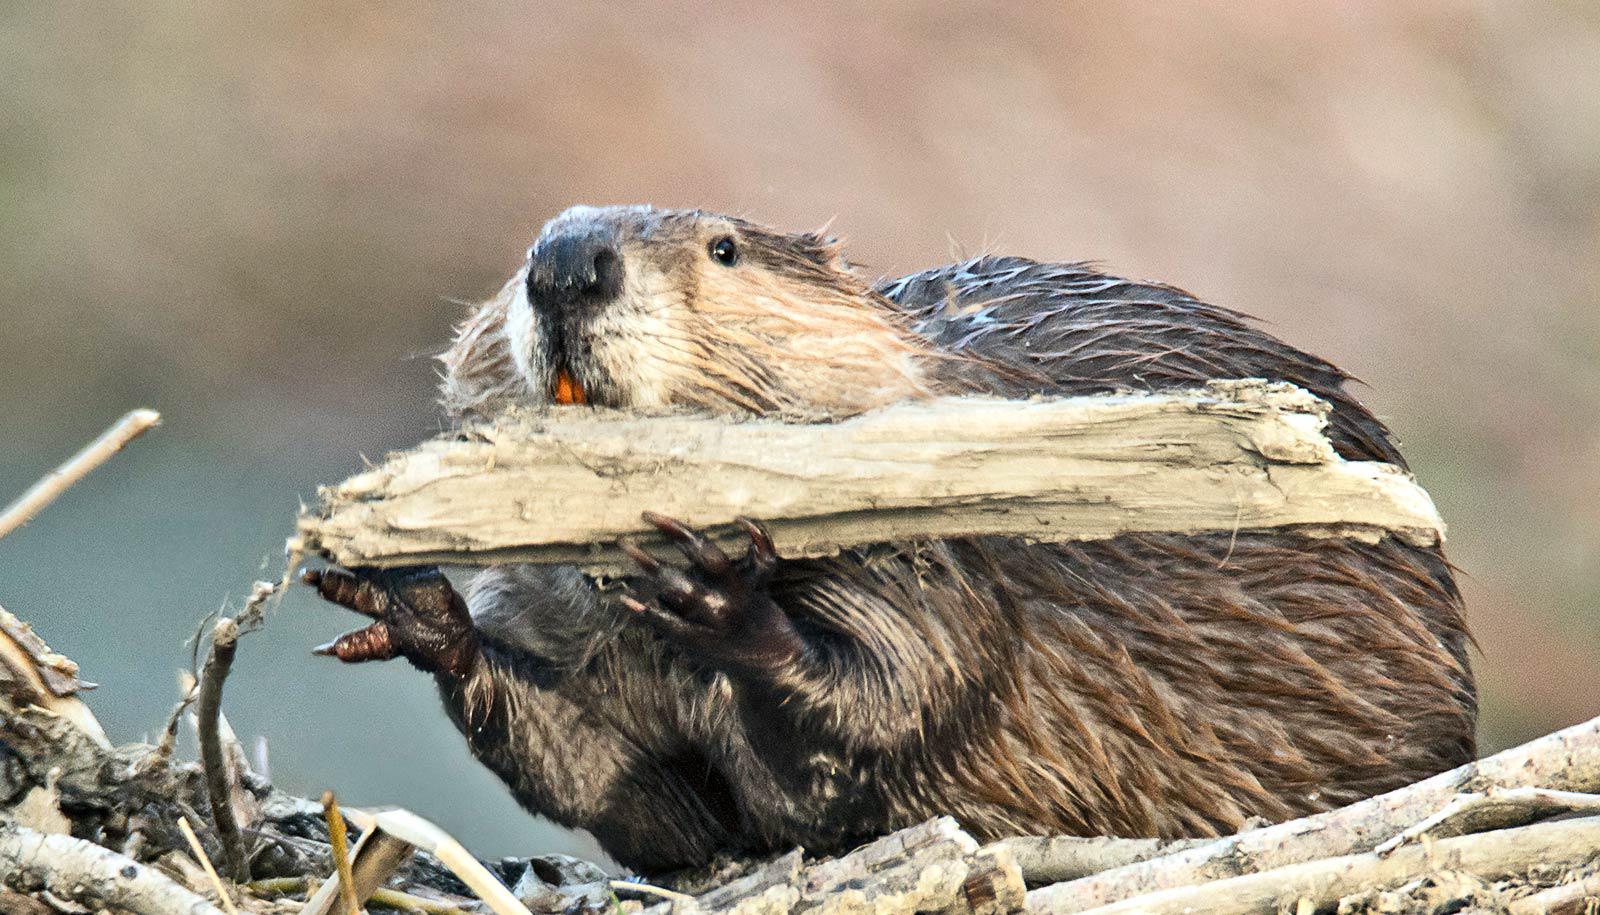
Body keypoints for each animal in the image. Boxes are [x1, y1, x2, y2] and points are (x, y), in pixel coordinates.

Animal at [305, 204, 1478, 870]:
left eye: (723, 248)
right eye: (529, 250)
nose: (567, 262)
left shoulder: (948, 555)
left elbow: (883, 704)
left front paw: (717, 587)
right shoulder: (560, 623)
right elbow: (616, 786)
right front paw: (406, 605)